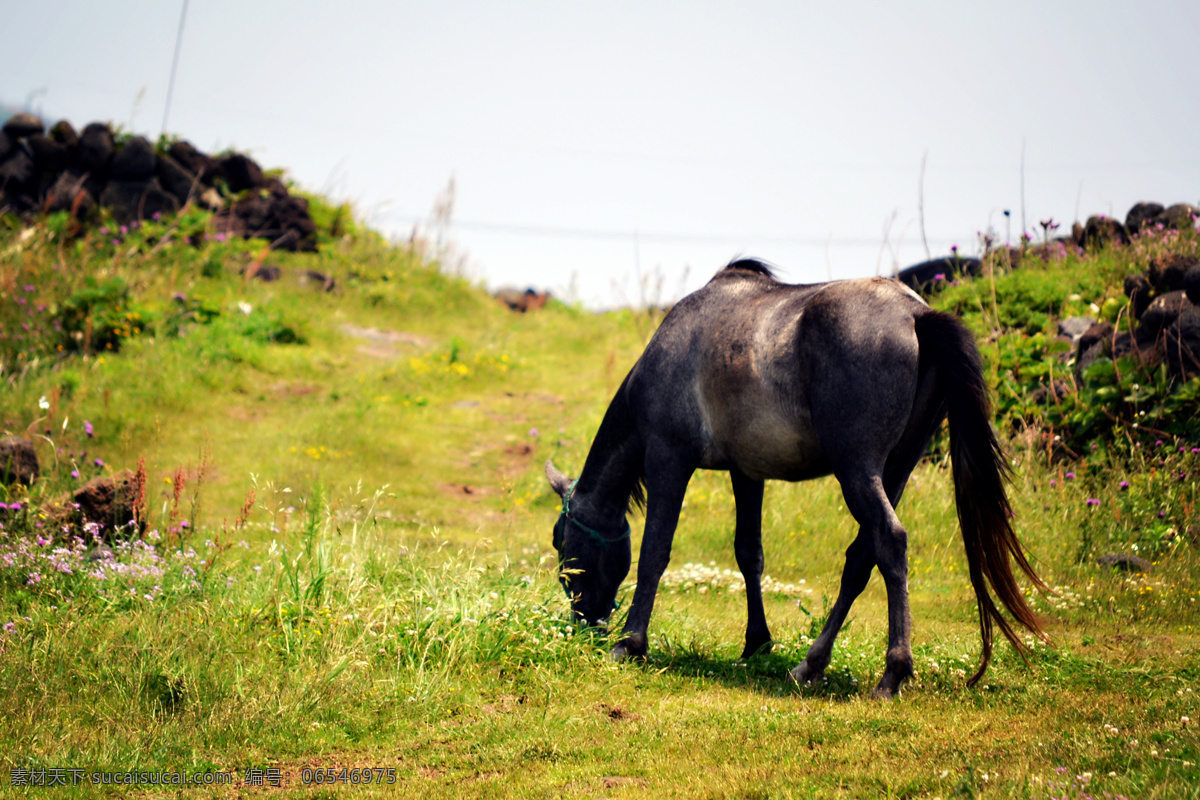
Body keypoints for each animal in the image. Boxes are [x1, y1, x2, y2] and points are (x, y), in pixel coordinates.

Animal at [549, 260, 1046, 695]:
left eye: (561, 541)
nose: (584, 622)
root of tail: (915, 314)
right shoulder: (746, 473)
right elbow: (749, 554)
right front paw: (757, 642)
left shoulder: (669, 460)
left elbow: (655, 551)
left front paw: (631, 642)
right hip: (896, 469)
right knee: (862, 557)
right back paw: (811, 665)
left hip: (857, 470)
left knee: (890, 541)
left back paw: (892, 675)